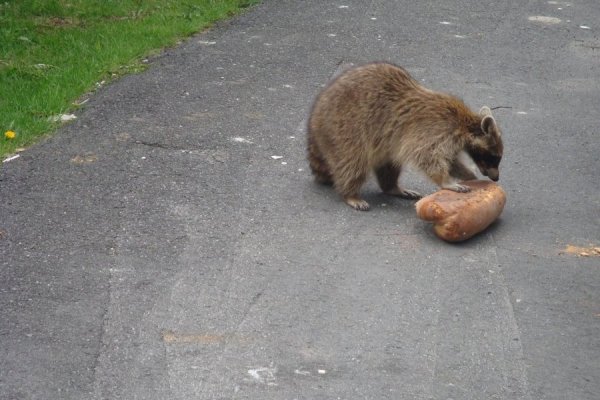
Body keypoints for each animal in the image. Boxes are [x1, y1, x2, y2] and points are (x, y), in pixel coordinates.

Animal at [308, 61, 504, 211]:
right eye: (494, 157)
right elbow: (427, 156)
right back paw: (350, 193)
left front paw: (467, 173)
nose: (496, 178)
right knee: (353, 162)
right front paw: (446, 181)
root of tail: (316, 114)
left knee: (389, 164)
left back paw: (392, 187)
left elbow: (450, 161)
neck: (465, 124)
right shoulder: (436, 130)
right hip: (346, 128)